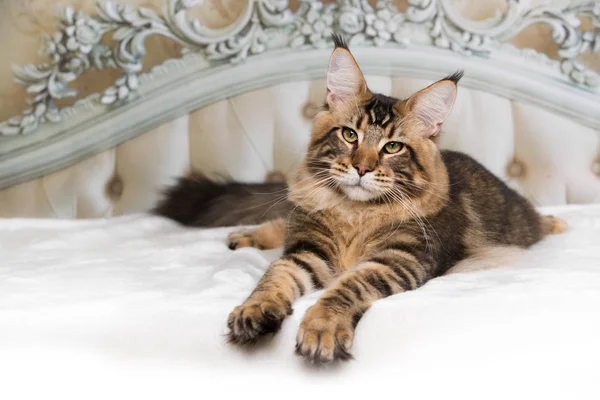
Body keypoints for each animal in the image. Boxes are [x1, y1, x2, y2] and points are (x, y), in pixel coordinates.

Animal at [156, 36, 568, 364]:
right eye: (350, 135)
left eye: (393, 147)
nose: (361, 167)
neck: (354, 214)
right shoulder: (308, 252)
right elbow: (273, 278)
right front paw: (254, 310)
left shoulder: (399, 260)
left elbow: (346, 287)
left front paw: (321, 328)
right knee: (283, 220)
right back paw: (246, 234)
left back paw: (556, 223)